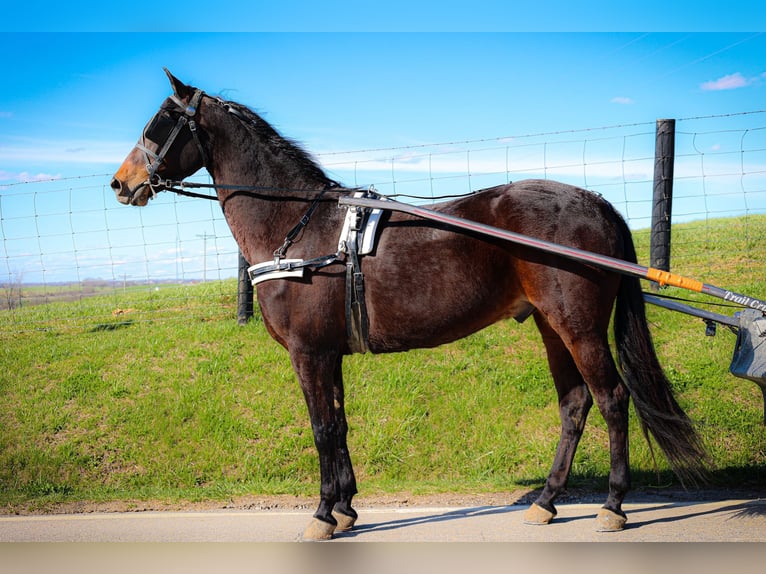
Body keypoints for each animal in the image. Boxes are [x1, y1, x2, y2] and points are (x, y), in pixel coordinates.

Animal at [109, 70, 708, 544]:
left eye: (161, 121)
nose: (121, 182)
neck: (300, 226)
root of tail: (598, 201)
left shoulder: (309, 353)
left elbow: (321, 429)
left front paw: (322, 514)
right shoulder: (331, 355)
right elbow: (340, 425)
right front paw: (346, 509)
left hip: (578, 326)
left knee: (611, 399)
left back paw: (612, 505)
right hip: (550, 325)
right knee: (575, 403)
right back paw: (546, 500)